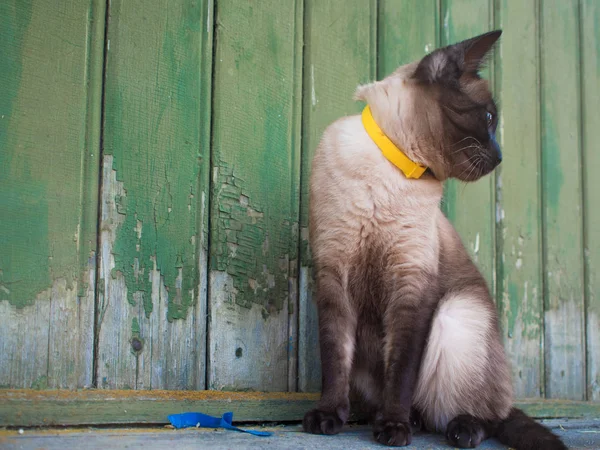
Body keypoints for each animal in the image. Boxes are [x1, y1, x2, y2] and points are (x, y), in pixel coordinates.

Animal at [304, 29, 568, 448]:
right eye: (489, 118)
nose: (500, 156)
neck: (393, 171)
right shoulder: (334, 272)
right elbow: (334, 360)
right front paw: (328, 416)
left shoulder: (412, 284)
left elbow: (402, 370)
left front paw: (393, 429)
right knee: (425, 410)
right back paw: (406, 420)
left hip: (455, 314)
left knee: (487, 415)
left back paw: (456, 428)